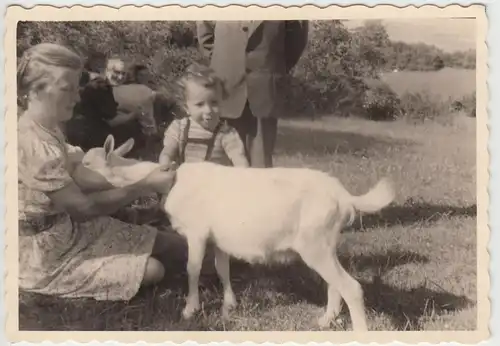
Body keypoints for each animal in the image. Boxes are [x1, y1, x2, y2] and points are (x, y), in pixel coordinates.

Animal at [81, 134, 394, 332]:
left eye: (86, 162)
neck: (173, 181)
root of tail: (343, 195)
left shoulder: (197, 232)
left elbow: (193, 269)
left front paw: (190, 310)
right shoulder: (219, 238)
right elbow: (222, 269)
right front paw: (229, 305)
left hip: (315, 244)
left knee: (351, 287)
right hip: (324, 244)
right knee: (335, 284)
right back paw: (325, 321)